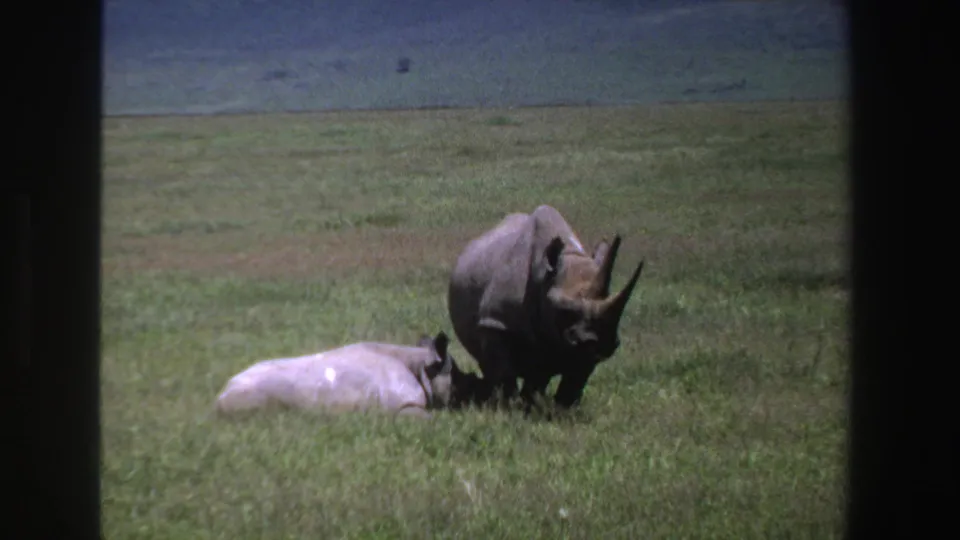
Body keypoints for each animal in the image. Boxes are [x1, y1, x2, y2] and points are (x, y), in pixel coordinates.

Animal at [448, 205, 645, 410]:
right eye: (564, 311)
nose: (595, 341)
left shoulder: (581, 346)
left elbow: (574, 377)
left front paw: (562, 410)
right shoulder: (495, 322)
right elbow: (504, 370)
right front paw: (509, 407)